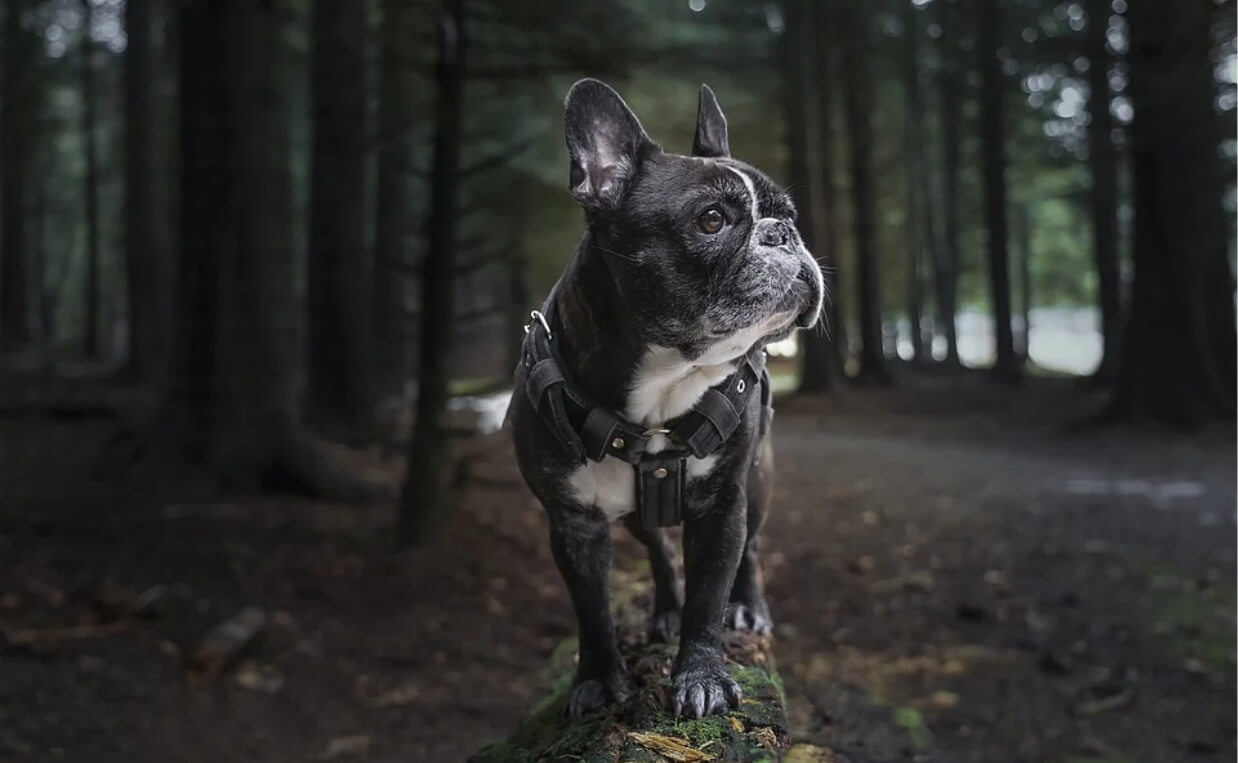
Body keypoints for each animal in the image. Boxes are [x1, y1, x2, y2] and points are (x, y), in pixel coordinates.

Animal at [507, 80, 826, 718]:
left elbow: (710, 596)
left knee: (752, 549)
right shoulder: (572, 524)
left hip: (758, 479)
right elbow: (592, 610)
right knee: (657, 548)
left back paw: (748, 606)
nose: (783, 234)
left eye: (788, 215)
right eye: (711, 220)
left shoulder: (725, 505)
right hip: (634, 516)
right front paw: (598, 680)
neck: (662, 387)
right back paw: (665, 610)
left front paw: (702, 676)